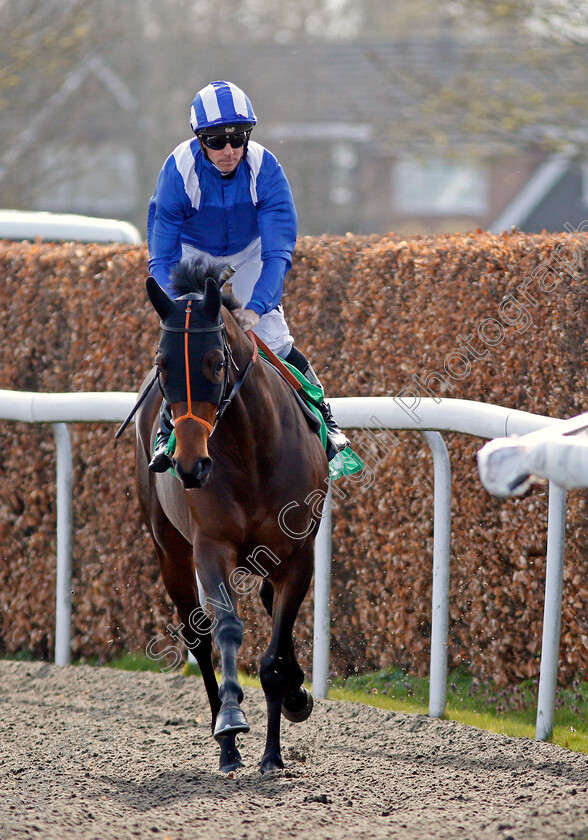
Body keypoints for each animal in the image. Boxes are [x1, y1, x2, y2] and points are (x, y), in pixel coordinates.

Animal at [136, 260, 328, 772]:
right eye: (163, 366)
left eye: (215, 363)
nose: (189, 464)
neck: (252, 449)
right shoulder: (211, 546)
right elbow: (226, 628)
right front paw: (232, 721)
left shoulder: (297, 553)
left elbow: (275, 654)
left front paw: (275, 751)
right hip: (169, 549)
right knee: (198, 637)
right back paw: (227, 746)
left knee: (267, 603)